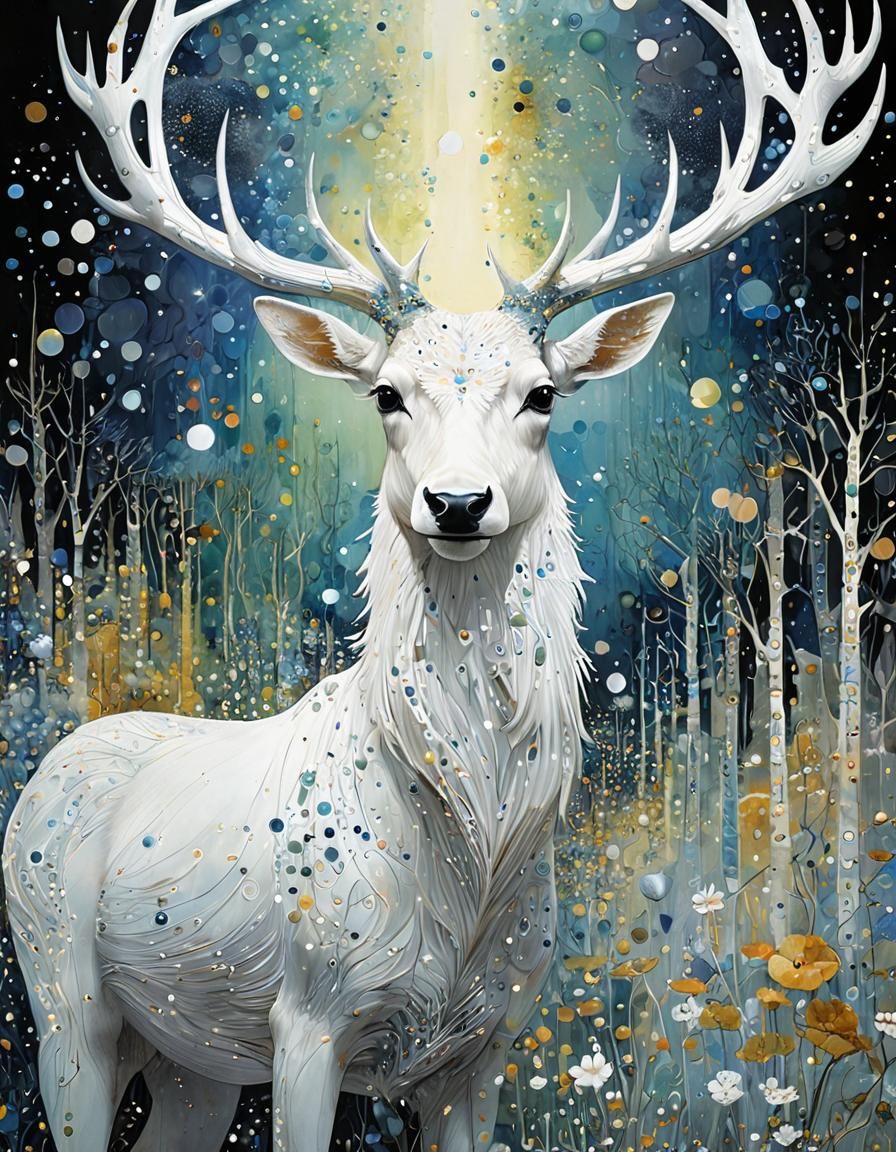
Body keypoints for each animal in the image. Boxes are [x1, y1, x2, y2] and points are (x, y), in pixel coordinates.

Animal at [3, 0, 883, 1149]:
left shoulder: (484, 1044)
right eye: (385, 393)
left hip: (193, 1057)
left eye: (543, 393)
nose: (458, 502)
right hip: (61, 991)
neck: (470, 858)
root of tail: (53, 762)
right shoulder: (306, 1018)